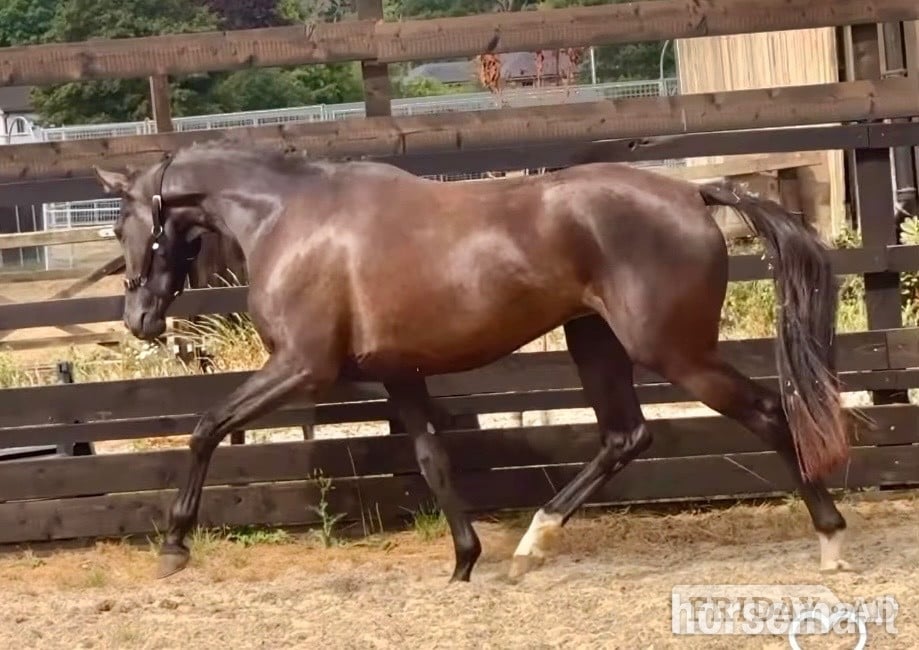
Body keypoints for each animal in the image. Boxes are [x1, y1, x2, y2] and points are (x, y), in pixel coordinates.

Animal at [93, 141, 852, 582]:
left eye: (126, 224)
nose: (139, 319)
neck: (292, 217)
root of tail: (694, 191)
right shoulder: (398, 372)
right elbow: (432, 459)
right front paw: (464, 562)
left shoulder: (302, 365)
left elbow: (206, 427)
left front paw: (174, 545)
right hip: (594, 340)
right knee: (625, 435)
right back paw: (530, 547)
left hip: (672, 350)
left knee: (767, 412)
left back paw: (830, 541)